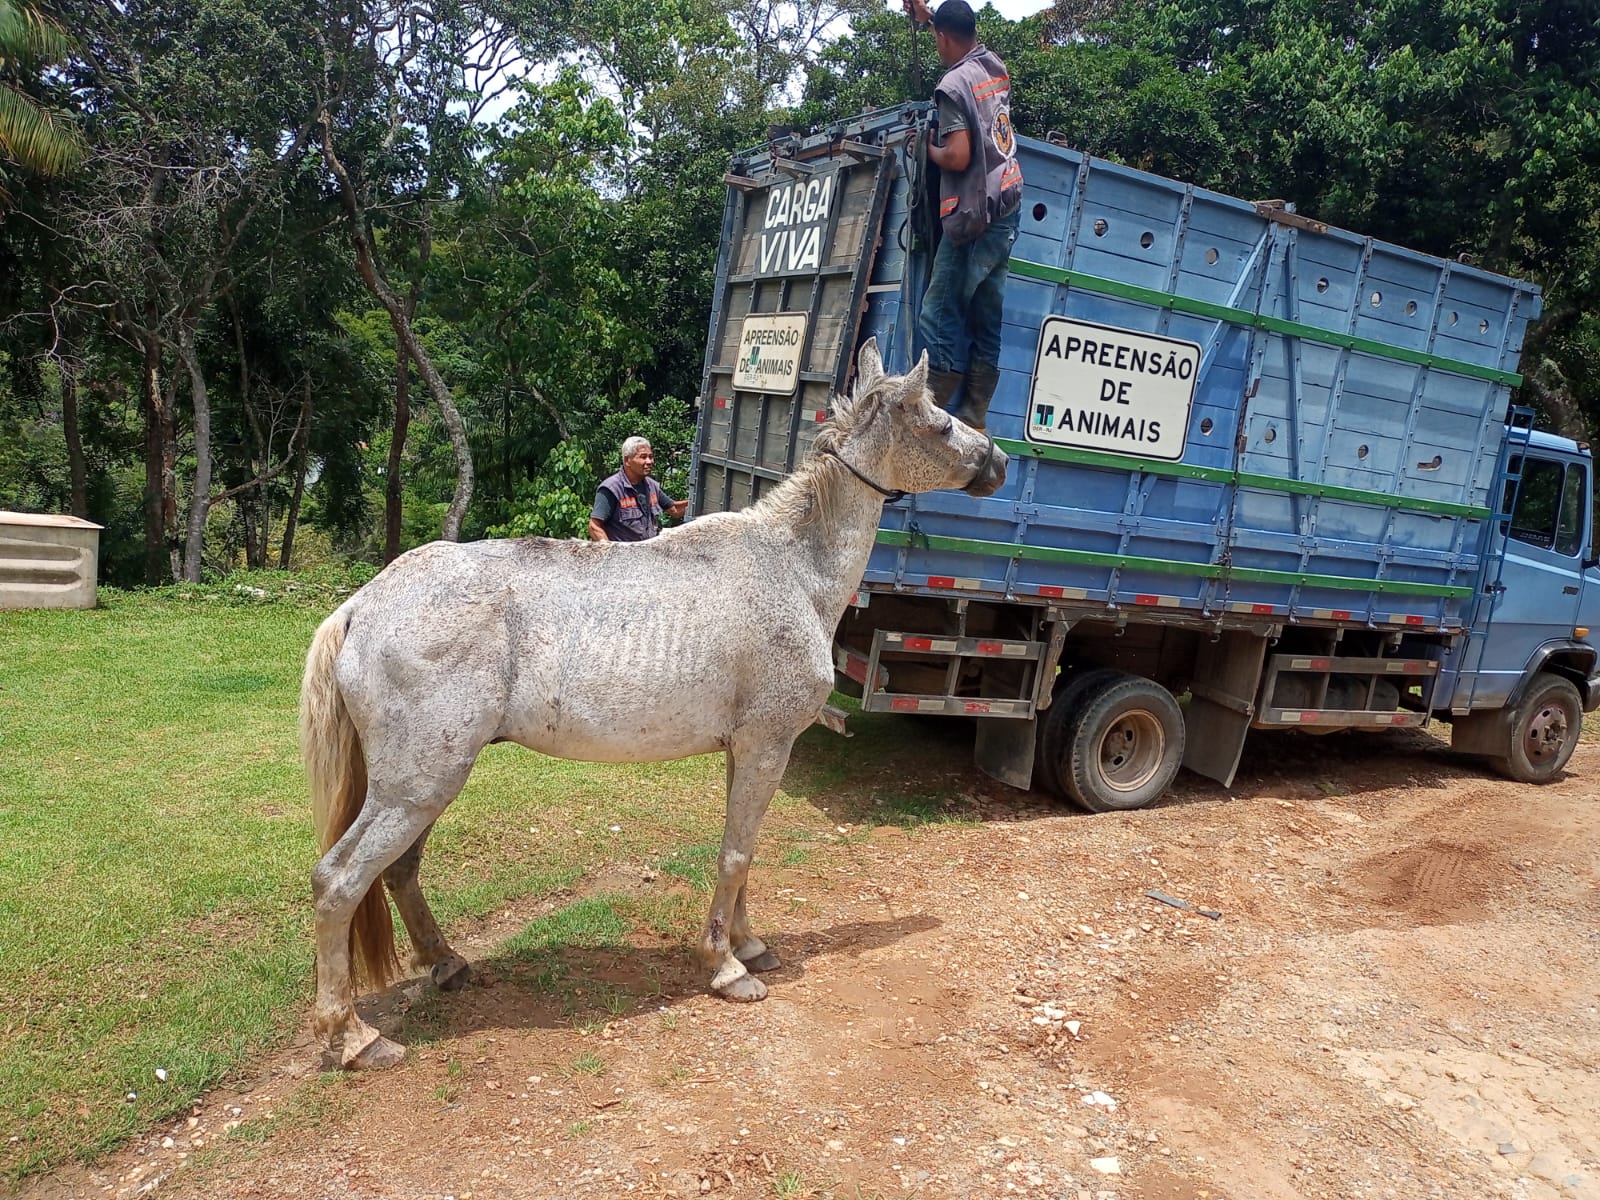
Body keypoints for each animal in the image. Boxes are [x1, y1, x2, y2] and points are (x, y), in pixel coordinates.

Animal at [299, 339, 1008, 1069]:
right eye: (939, 422)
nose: (998, 463)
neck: (790, 569)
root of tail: (362, 604)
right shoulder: (768, 746)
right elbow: (735, 855)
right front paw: (726, 968)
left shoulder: (747, 751)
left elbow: (740, 850)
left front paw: (748, 943)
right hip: (417, 787)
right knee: (338, 881)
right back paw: (353, 1036)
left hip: (421, 787)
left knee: (399, 871)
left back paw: (445, 964)